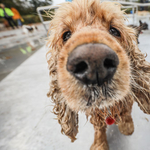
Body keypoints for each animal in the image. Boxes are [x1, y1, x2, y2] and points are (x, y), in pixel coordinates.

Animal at [46, 0, 150, 149]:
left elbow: (126, 113)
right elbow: (99, 127)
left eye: (114, 31)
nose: (94, 62)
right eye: (66, 35)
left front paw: (126, 126)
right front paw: (100, 144)